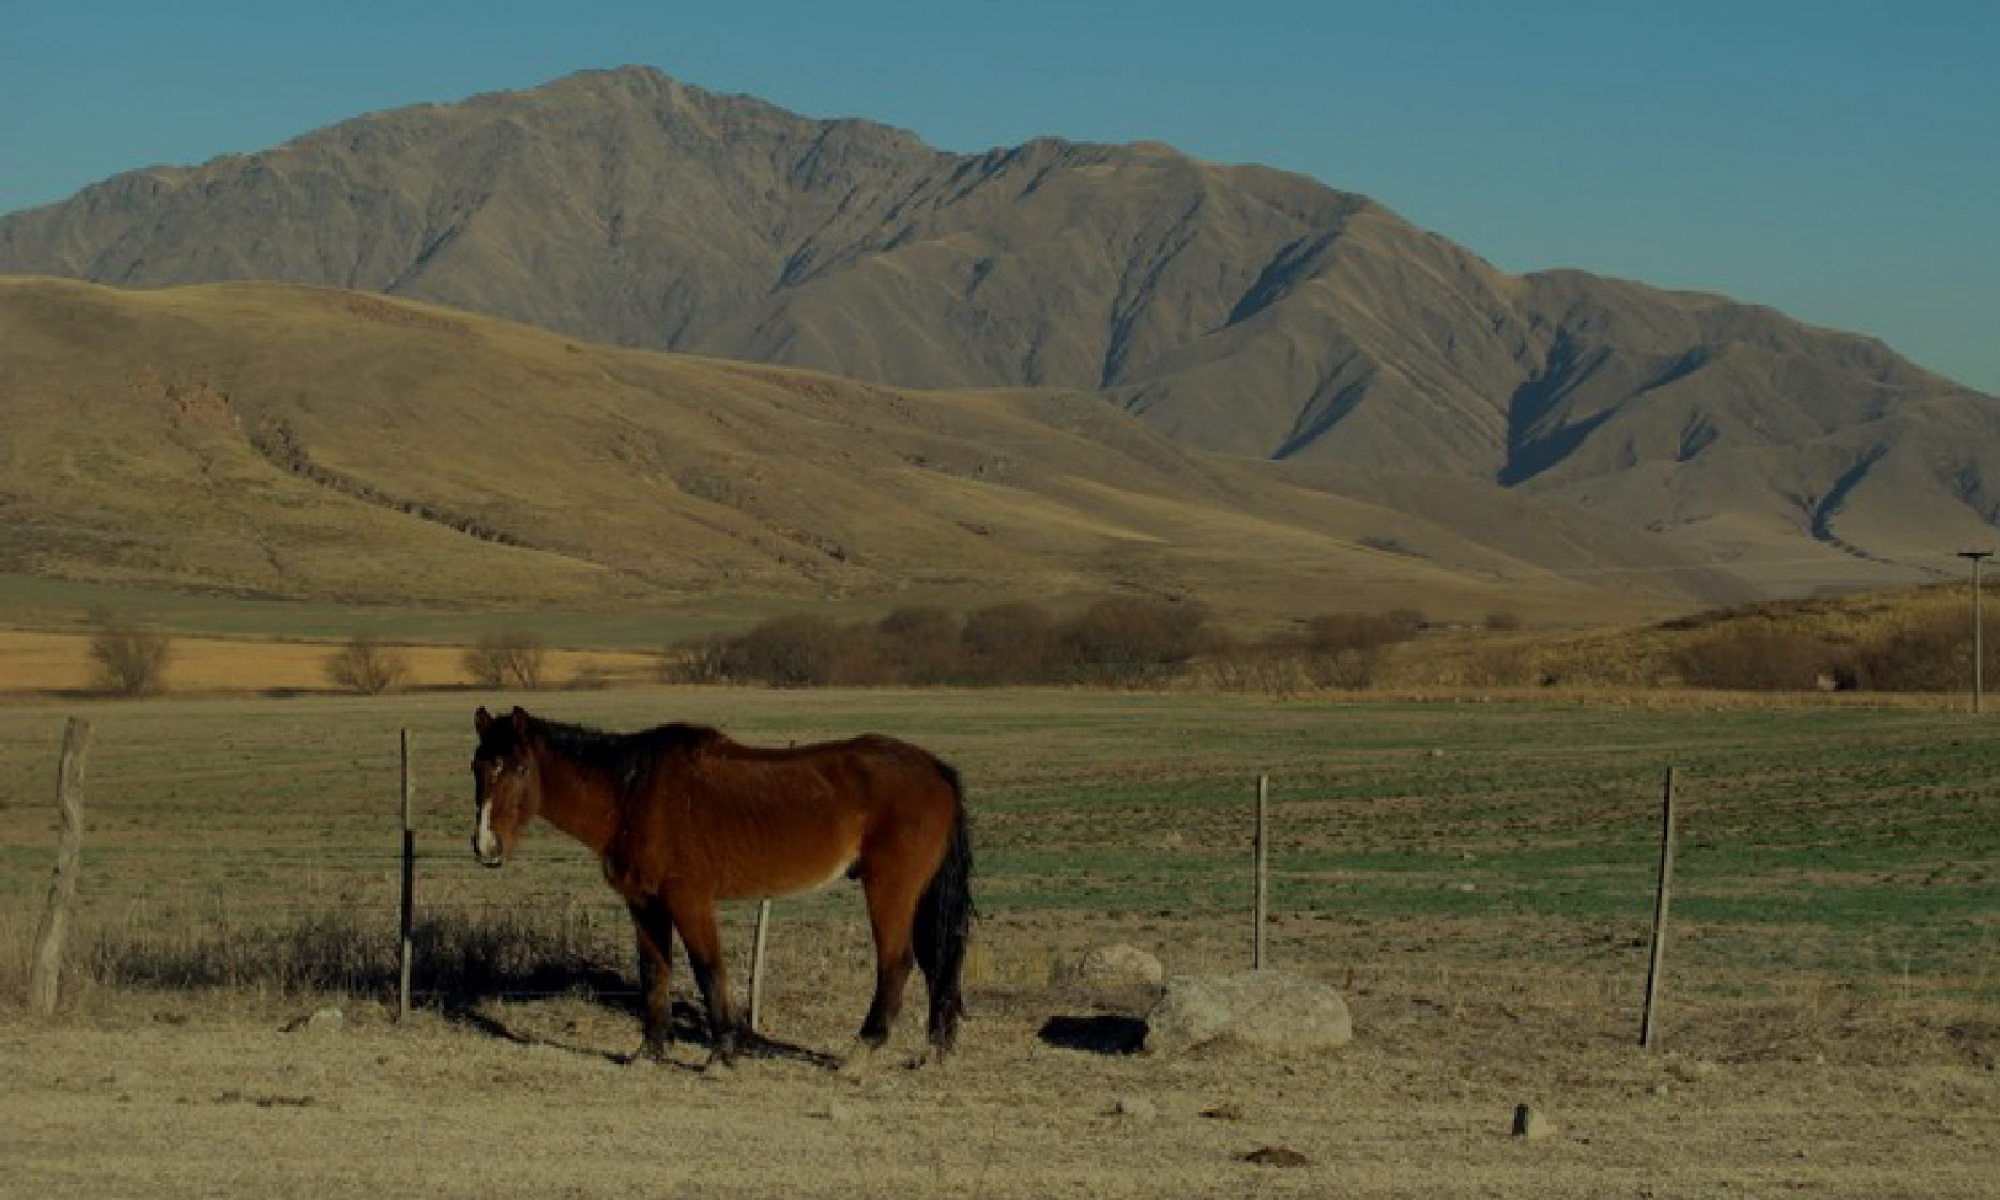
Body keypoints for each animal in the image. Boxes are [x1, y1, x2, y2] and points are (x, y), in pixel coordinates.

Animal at [468, 704, 968, 1072]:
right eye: (476, 767)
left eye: (517, 768)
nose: (485, 846)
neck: (633, 795)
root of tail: (934, 768)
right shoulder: (643, 904)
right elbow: (655, 972)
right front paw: (651, 1051)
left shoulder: (689, 901)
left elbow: (709, 969)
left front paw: (720, 1055)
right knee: (933, 963)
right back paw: (930, 1052)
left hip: (889, 889)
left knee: (896, 963)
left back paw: (859, 1054)